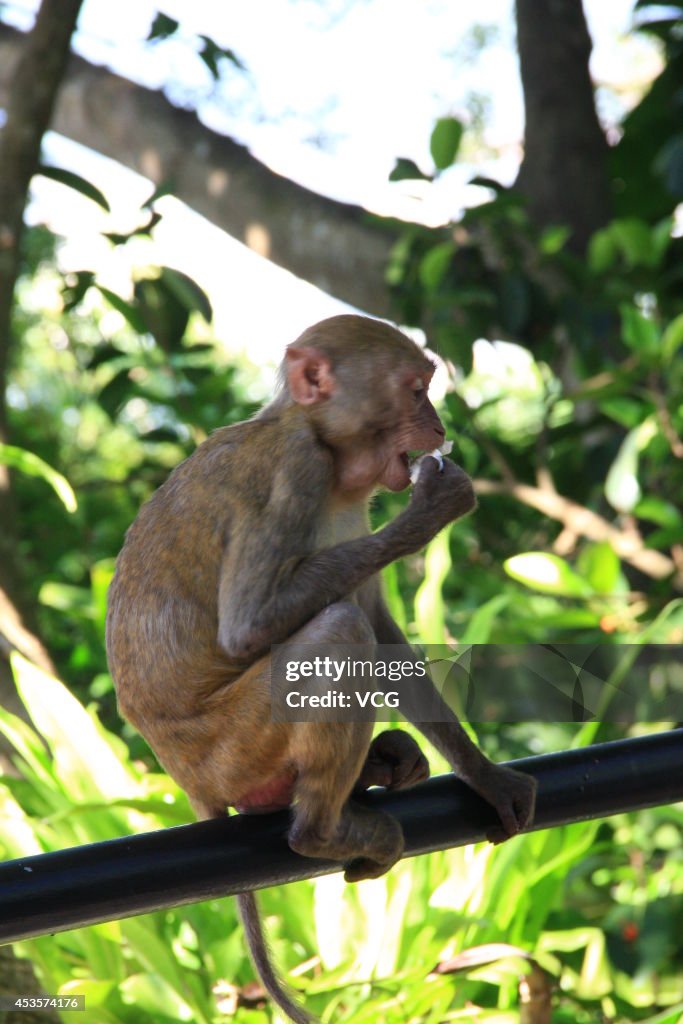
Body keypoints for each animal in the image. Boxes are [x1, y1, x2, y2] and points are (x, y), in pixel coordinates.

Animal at [107, 311, 536, 1024]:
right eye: (417, 389)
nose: (437, 426)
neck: (329, 457)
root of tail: (189, 782)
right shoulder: (296, 471)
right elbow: (251, 624)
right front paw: (433, 508)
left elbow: (385, 637)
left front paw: (486, 776)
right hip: (232, 747)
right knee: (338, 629)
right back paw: (320, 831)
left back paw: (382, 768)